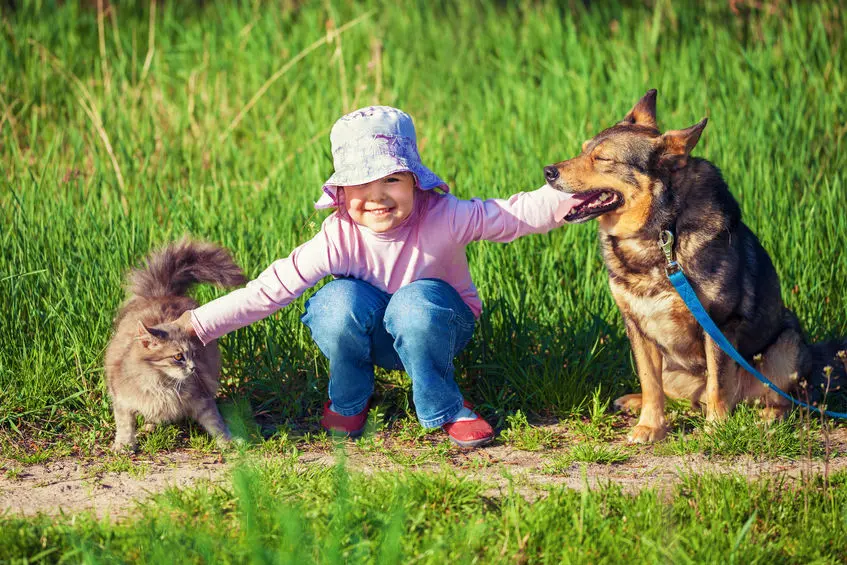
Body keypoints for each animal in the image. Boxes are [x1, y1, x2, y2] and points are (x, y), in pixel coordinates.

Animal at [104, 238, 247, 450]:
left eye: (194, 354)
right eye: (178, 356)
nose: (194, 368)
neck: (161, 385)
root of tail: (161, 292)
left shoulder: (202, 399)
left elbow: (216, 424)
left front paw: (227, 442)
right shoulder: (122, 400)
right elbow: (124, 425)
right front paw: (124, 445)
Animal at [548, 89, 844, 440]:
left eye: (603, 159)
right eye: (583, 150)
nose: (548, 171)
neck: (662, 232)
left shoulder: (718, 324)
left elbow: (718, 383)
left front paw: (716, 429)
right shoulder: (637, 327)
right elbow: (650, 384)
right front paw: (649, 426)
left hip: (785, 348)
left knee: (785, 399)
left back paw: (766, 417)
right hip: (674, 366)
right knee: (678, 395)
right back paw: (635, 402)